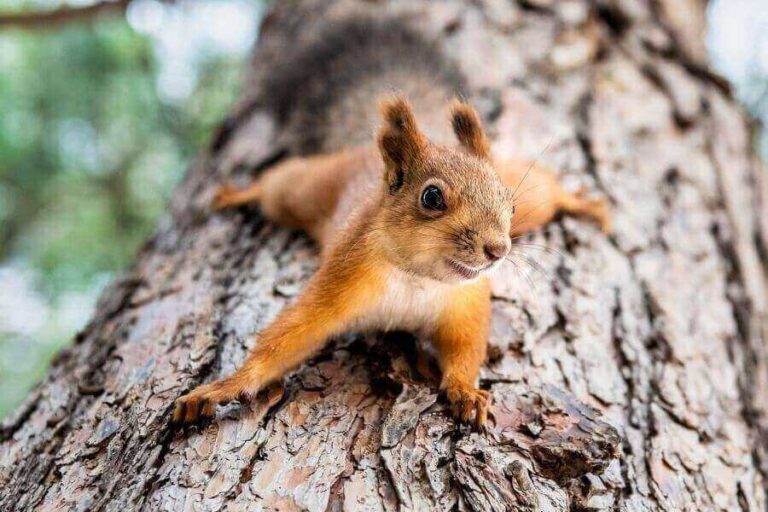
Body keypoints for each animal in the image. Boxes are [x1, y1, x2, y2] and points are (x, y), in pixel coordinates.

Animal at [173, 19, 609, 429]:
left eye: (510, 205)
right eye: (431, 197)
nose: (497, 250)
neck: (418, 279)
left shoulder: (466, 302)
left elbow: (466, 348)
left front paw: (465, 391)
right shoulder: (342, 276)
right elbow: (291, 335)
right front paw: (223, 387)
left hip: (533, 196)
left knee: (549, 193)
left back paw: (586, 204)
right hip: (305, 189)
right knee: (276, 185)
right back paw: (237, 194)